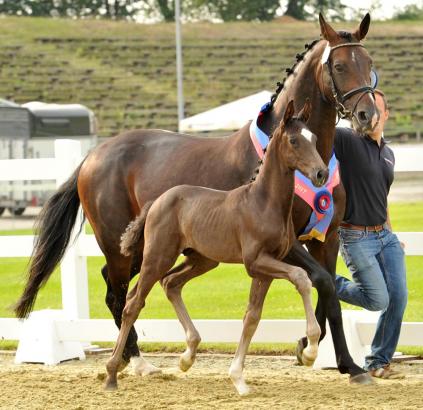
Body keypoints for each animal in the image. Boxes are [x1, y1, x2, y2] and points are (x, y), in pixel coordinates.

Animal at [105, 101, 328, 392]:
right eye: (294, 140)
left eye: (314, 138)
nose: (321, 173)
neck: (263, 202)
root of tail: (157, 201)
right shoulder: (255, 262)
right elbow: (301, 277)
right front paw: (310, 350)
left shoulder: (266, 268)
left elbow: (252, 317)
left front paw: (238, 378)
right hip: (157, 257)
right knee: (133, 303)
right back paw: (111, 373)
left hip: (202, 259)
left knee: (170, 283)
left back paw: (187, 356)